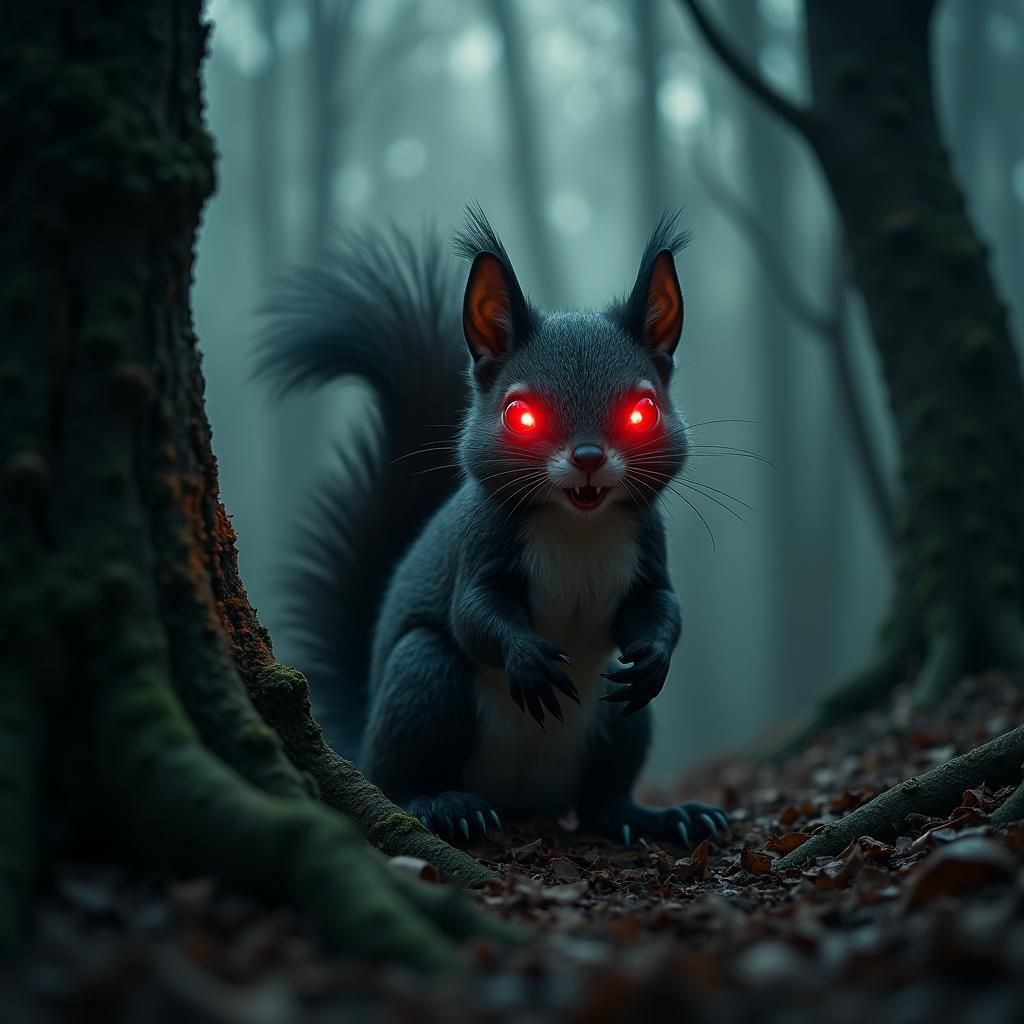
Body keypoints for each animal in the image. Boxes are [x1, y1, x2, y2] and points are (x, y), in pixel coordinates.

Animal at [257, 208, 729, 846]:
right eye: (519, 415)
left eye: (644, 411)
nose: (588, 458)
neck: (577, 525)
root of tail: (522, 802)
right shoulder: (480, 544)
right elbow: (473, 613)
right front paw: (527, 659)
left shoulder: (646, 548)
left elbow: (658, 605)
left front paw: (654, 657)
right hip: (422, 681)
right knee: (404, 774)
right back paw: (444, 804)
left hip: (616, 723)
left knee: (603, 799)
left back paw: (657, 816)